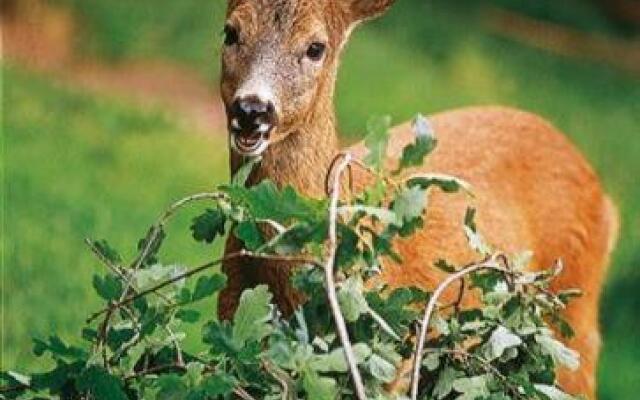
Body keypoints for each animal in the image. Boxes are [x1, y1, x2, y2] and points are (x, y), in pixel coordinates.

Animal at [218, 0, 616, 396]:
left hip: (573, 323)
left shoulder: (391, 367)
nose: (252, 110)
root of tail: (605, 199)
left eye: (316, 48)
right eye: (230, 32)